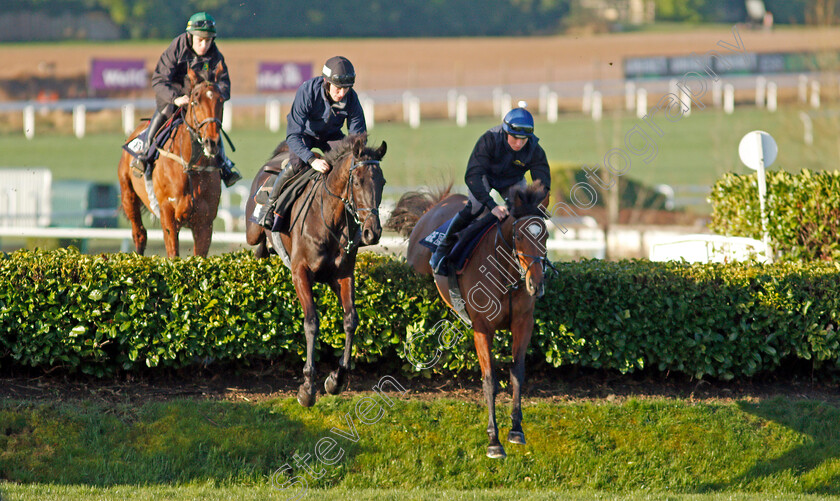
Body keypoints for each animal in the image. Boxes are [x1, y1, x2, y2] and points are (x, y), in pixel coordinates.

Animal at [116, 63, 226, 256]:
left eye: (221, 100)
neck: (189, 165)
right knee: (139, 234)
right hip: (128, 194)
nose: (211, 142)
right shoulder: (168, 215)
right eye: (195, 101)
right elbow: (173, 254)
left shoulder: (205, 222)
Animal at [243, 134, 388, 406]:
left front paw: (335, 379)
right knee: (257, 239)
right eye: (357, 181)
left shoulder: (342, 275)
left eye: (382, 182)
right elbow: (311, 322)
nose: (371, 233)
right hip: (252, 229)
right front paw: (308, 386)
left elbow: (350, 320)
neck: (330, 220)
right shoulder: (300, 272)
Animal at [388, 182, 552, 458]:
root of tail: (435, 205)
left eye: (546, 236)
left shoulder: (523, 323)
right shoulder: (482, 328)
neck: (506, 274)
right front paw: (494, 440)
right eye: (519, 236)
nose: (536, 285)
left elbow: (517, 373)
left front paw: (516, 429)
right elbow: (490, 381)